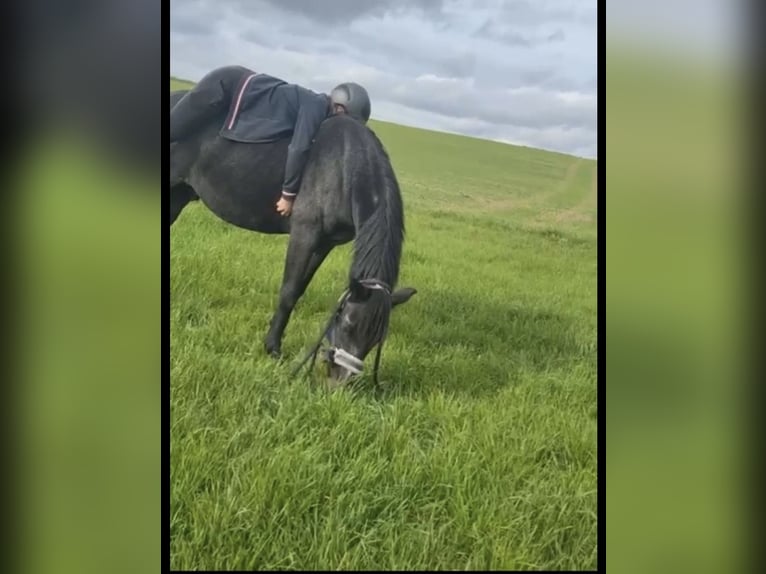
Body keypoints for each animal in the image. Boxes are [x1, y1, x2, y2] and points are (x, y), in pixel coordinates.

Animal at [170, 90, 416, 384]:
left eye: (378, 338)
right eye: (348, 323)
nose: (339, 383)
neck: (346, 167)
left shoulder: (325, 243)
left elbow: (299, 289)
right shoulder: (304, 233)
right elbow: (288, 291)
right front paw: (272, 348)